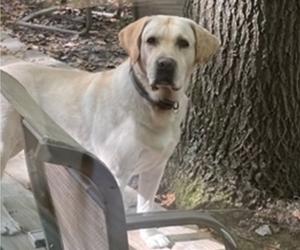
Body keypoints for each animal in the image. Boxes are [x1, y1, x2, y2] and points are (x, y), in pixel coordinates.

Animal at [0, 15, 220, 248]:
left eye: (183, 43)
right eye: (151, 41)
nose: (165, 64)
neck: (153, 104)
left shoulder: (155, 167)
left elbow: (146, 207)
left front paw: (151, 235)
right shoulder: (117, 171)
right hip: (4, 145)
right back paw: (6, 222)